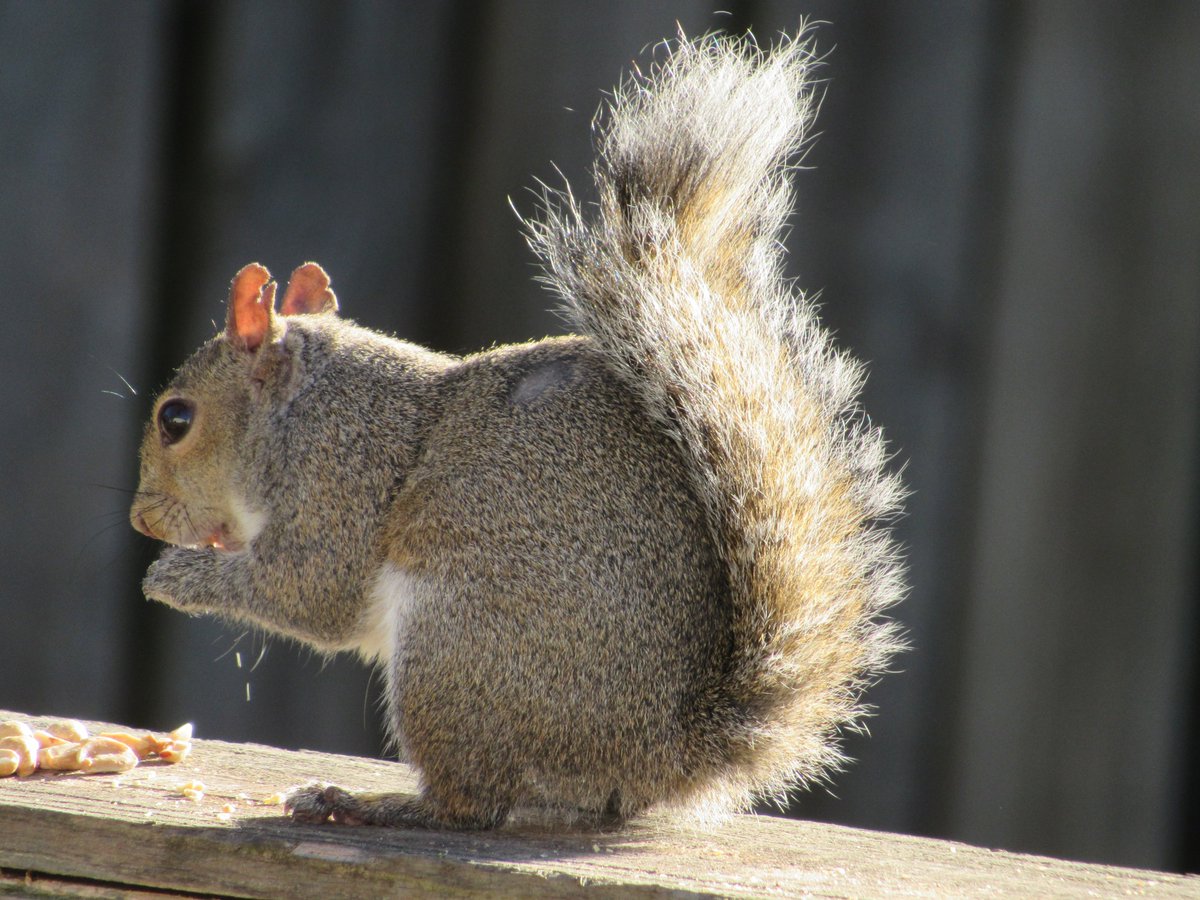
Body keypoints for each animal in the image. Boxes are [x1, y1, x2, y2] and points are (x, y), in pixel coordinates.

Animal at [129, 33, 905, 830]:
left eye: (176, 419)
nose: (141, 518)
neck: (301, 413)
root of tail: (655, 755)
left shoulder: (335, 487)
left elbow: (305, 592)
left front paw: (176, 577)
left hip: (454, 651)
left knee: (468, 804)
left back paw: (369, 802)